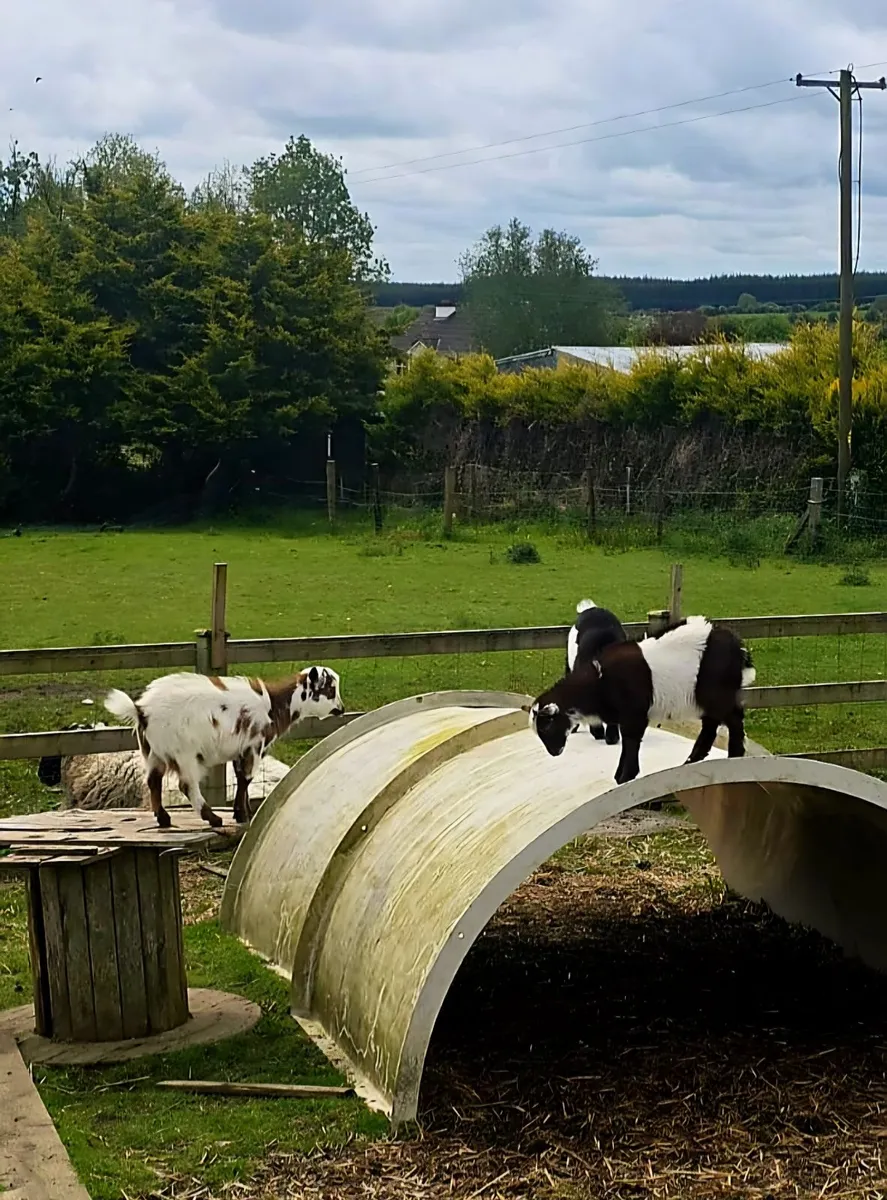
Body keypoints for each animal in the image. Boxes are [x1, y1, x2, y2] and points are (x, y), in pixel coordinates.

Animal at [104, 666, 344, 828]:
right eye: (330, 689)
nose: (341, 709)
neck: (273, 706)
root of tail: (141, 711)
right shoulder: (254, 746)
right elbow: (246, 779)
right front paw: (243, 816)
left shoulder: (240, 749)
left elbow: (240, 779)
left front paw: (241, 813)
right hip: (184, 754)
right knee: (186, 785)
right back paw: (213, 818)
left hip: (153, 753)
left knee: (153, 782)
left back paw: (164, 819)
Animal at [525, 615, 755, 785]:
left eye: (546, 727)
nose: (554, 752)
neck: (599, 681)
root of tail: (739, 647)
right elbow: (627, 742)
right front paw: (620, 775)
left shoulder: (634, 713)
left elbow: (631, 741)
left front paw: (625, 776)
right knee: (712, 723)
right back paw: (693, 760)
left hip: (717, 691)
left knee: (733, 719)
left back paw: (734, 755)